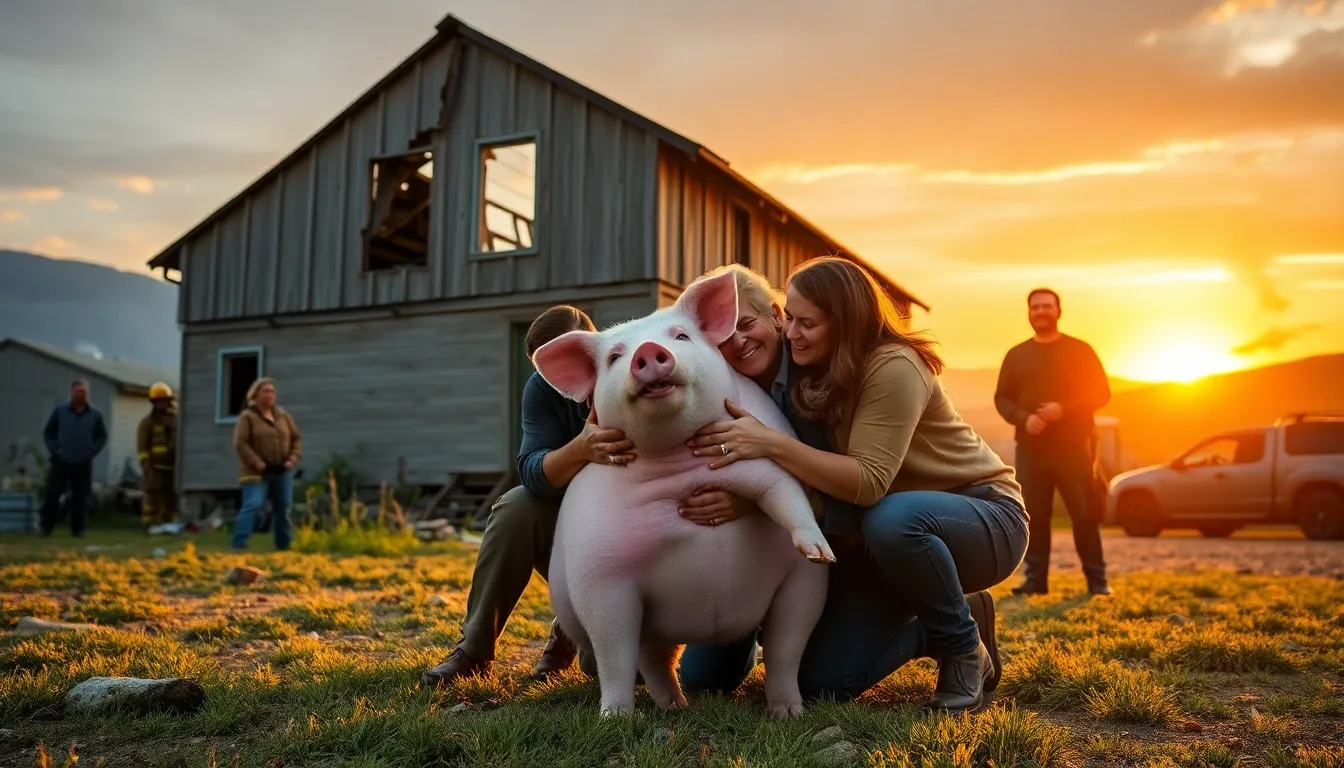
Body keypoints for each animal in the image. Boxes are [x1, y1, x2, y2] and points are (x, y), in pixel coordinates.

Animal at [531, 270, 835, 718]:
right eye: (614, 357)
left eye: (681, 336)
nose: (648, 350)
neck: (678, 470)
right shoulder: (600, 577)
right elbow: (613, 656)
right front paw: (614, 718)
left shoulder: (755, 458)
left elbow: (782, 491)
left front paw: (820, 551)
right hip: (642, 618)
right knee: (646, 658)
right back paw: (674, 707)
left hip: (802, 589)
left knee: (785, 646)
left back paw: (774, 711)